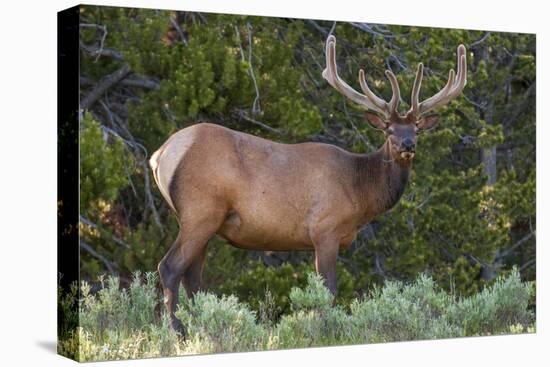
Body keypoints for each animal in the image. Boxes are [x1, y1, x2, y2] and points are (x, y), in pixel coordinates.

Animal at [152, 36, 470, 334]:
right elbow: (328, 291)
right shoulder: (325, 229)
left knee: (192, 276)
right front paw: (324, 330)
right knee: (169, 267)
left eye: (416, 128)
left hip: (201, 219)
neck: (359, 192)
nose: (407, 145)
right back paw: (177, 330)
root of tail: (161, 154)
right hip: (201, 210)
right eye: (389, 130)